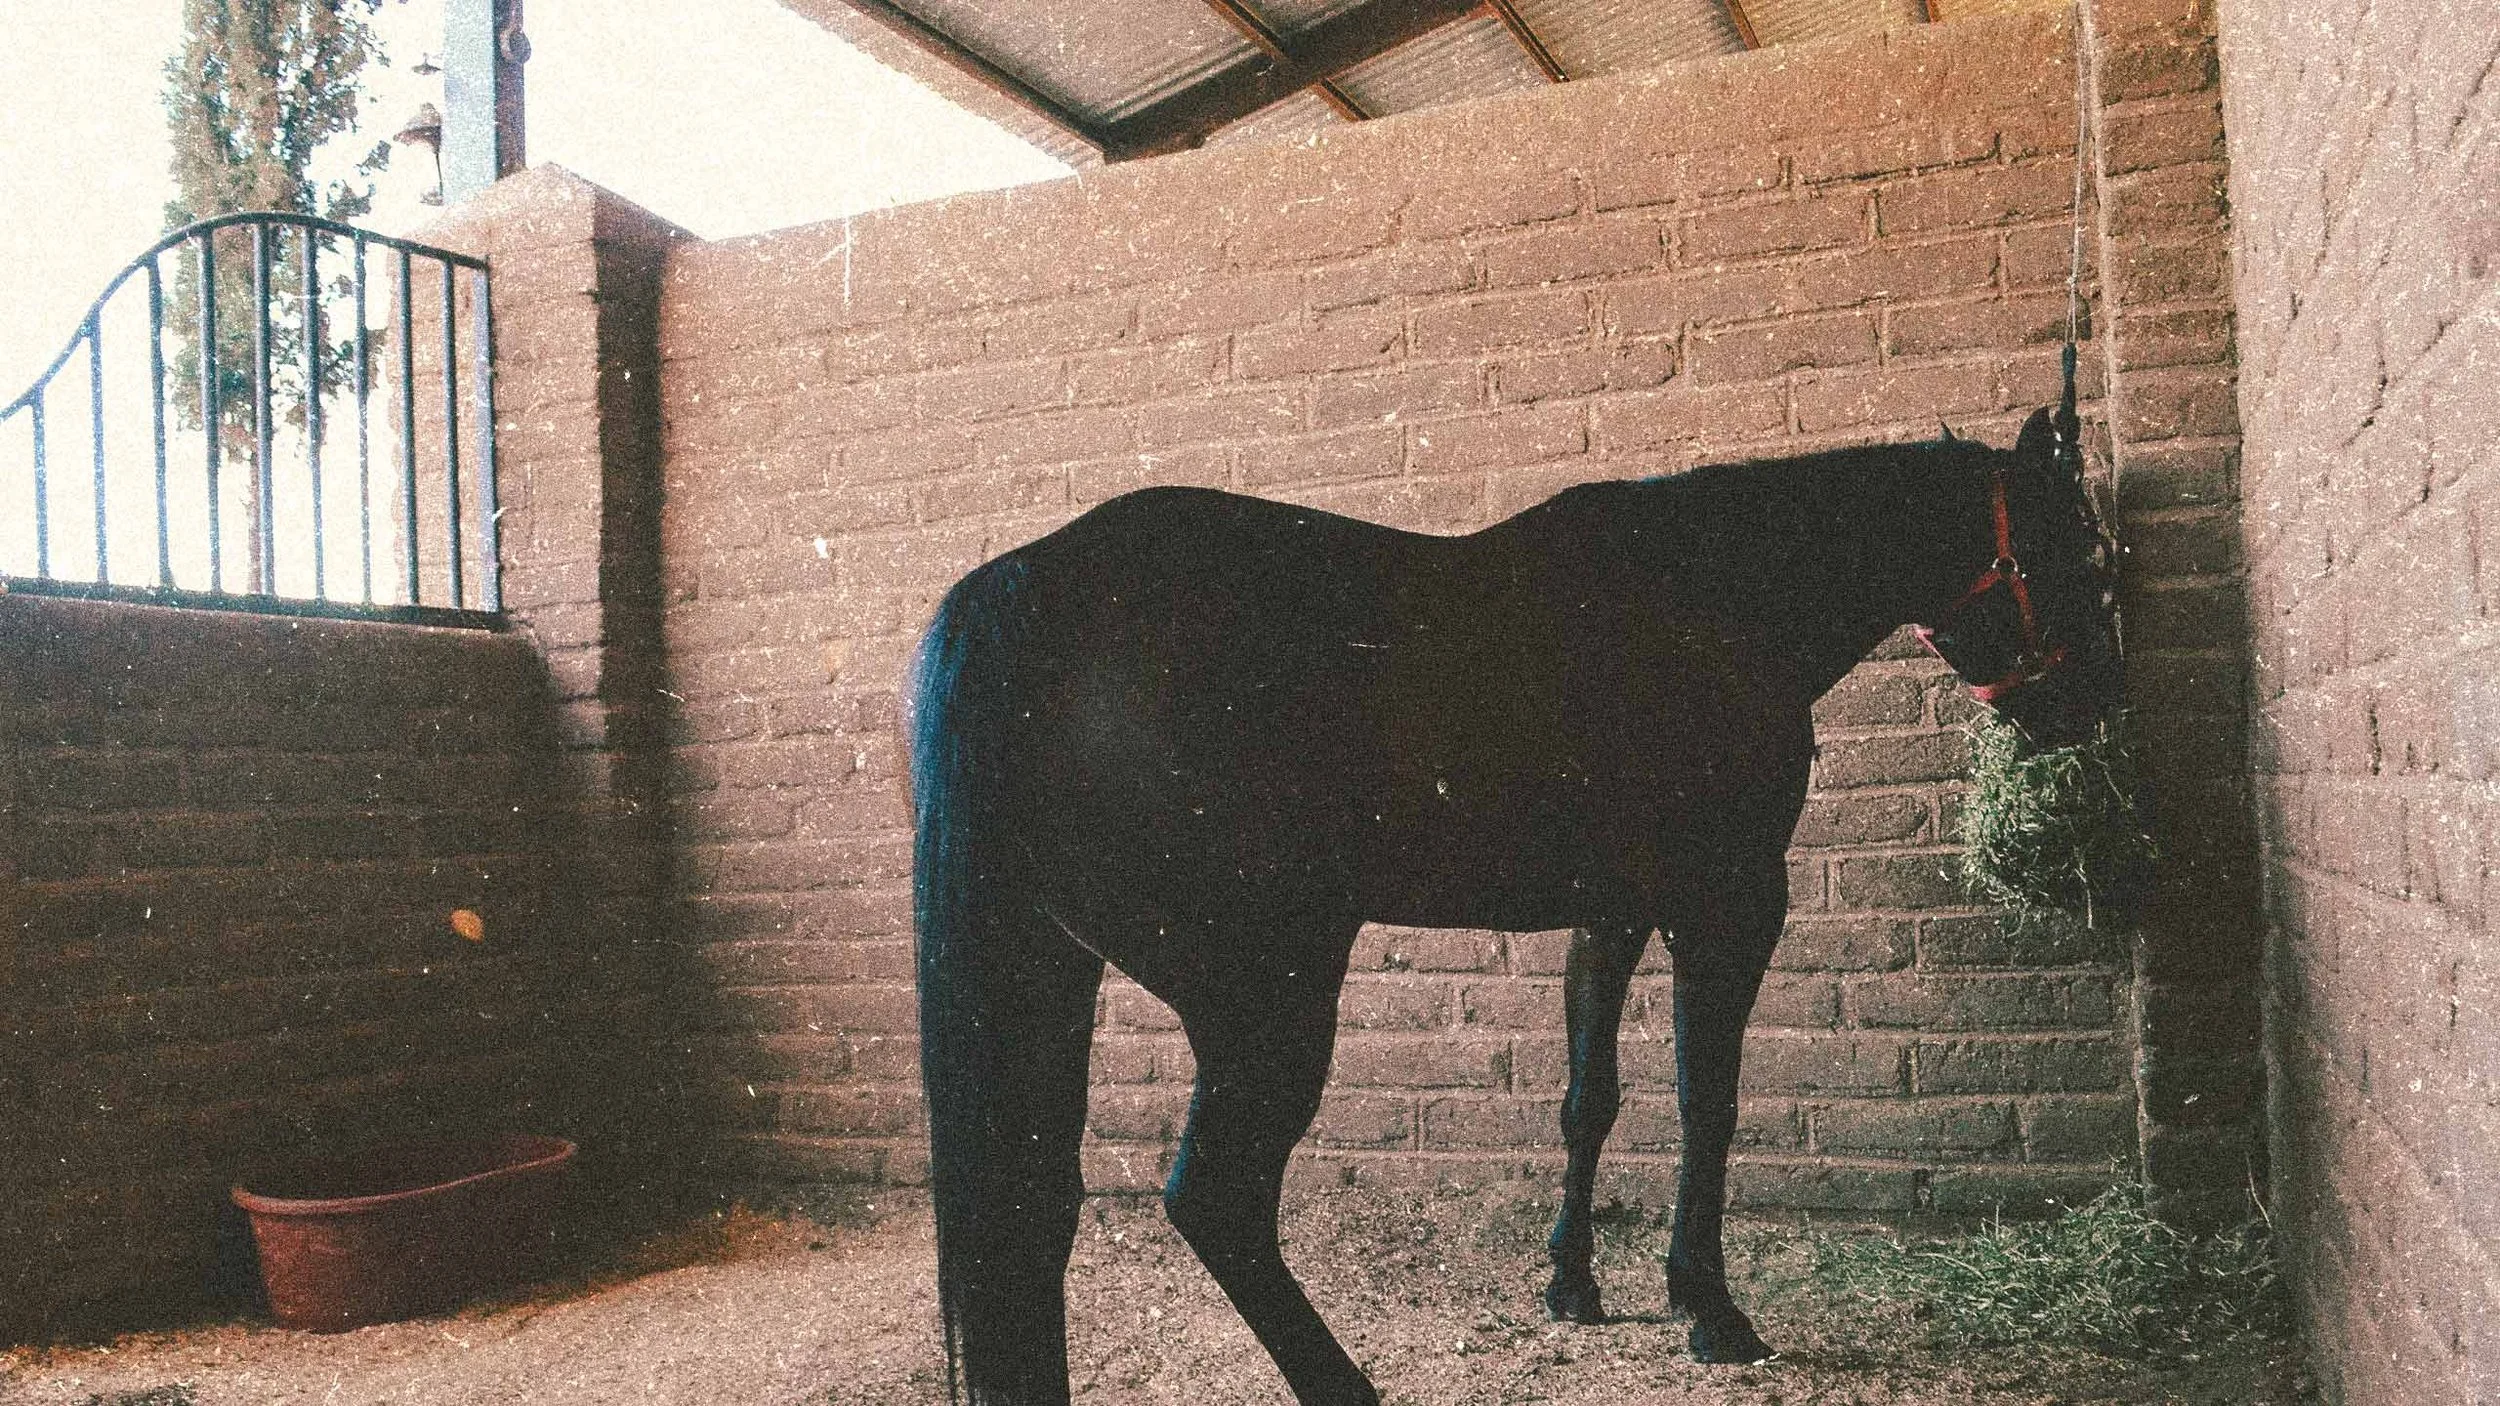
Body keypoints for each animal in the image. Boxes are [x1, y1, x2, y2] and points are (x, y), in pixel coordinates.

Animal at [907, 405, 2122, 1405]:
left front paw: (1572, 1283)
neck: (1714, 596)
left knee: (1032, 1208)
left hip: (1053, 975)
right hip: (1266, 995)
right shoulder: (1728, 902)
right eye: (2076, 548)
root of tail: (1020, 599)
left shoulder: (1611, 914)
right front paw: (1708, 1307)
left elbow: (1590, 1099)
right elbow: (1707, 1102)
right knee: (1217, 1198)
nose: (2090, 704)